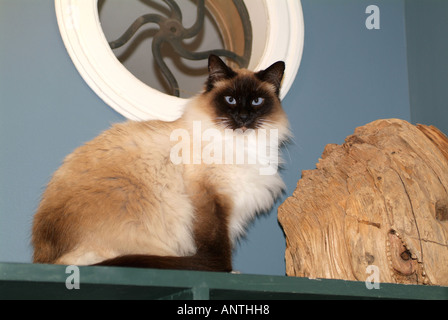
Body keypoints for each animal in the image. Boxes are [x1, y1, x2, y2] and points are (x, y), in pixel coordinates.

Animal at [31, 55, 290, 272]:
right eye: (230, 99)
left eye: (256, 101)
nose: (243, 118)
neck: (243, 145)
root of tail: (44, 259)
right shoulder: (210, 196)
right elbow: (217, 244)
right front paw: (227, 271)